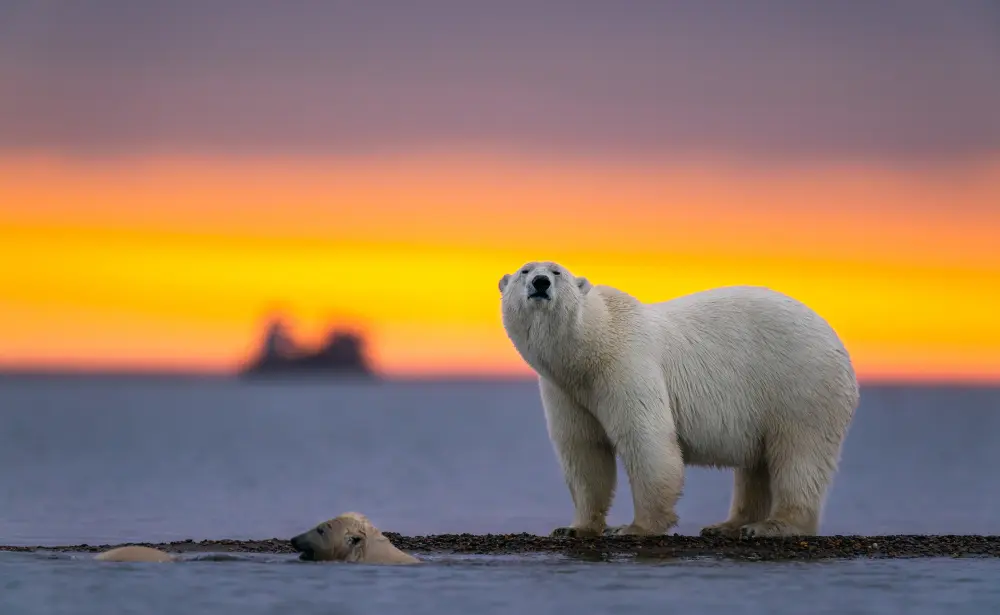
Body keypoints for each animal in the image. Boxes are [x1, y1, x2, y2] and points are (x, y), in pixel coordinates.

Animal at [500, 260, 860, 540]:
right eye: (525, 270)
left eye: (557, 271)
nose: (540, 282)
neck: (590, 347)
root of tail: (838, 344)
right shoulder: (566, 391)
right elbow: (584, 451)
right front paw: (575, 527)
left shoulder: (627, 364)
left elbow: (647, 440)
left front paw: (634, 528)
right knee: (756, 466)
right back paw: (728, 525)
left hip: (801, 384)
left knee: (799, 455)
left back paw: (773, 525)